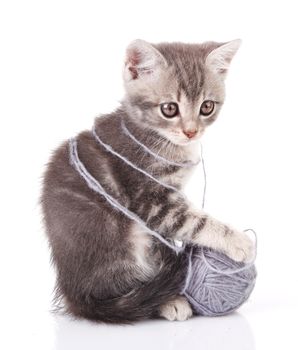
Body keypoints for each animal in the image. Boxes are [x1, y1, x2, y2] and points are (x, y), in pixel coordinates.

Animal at [40, 38, 254, 322]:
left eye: (206, 106)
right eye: (169, 109)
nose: (191, 132)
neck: (155, 135)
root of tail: (74, 293)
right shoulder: (149, 200)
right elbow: (194, 222)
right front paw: (238, 241)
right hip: (122, 237)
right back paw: (166, 301)